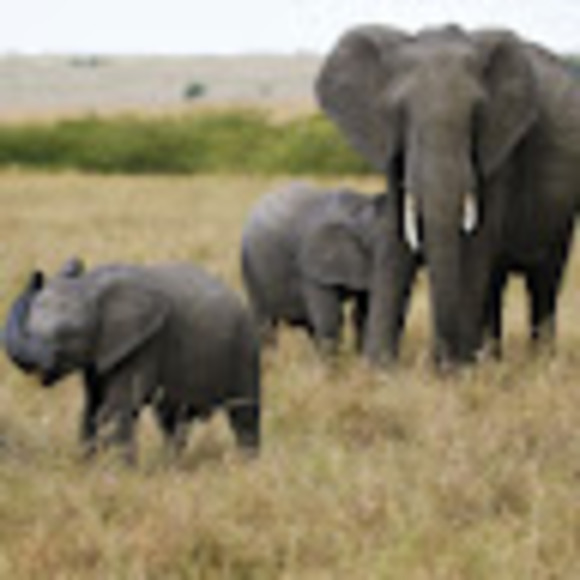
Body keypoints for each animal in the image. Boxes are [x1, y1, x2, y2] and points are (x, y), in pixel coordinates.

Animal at [3, 258, 261, 463]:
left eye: (69, 336)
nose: (74, 263)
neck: (91, 284)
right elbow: (91, 407)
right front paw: (87, 465)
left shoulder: (144, 343)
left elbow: (115, 407)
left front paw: (119, 472)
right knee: (172, 420)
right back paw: (170, 465)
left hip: (245, 348)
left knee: (244, 413)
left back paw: (247, 465)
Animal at [316, 24, 580, 366]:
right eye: (400, 113)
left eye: (477, 114)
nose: (436, 359)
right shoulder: (391, 147)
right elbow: (395, 237)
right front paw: (379, 369)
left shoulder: (500, 148)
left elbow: (475, 245)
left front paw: (454, 371)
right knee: (496, 283)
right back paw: (491, 360)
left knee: (544, 281)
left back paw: (539, 364)